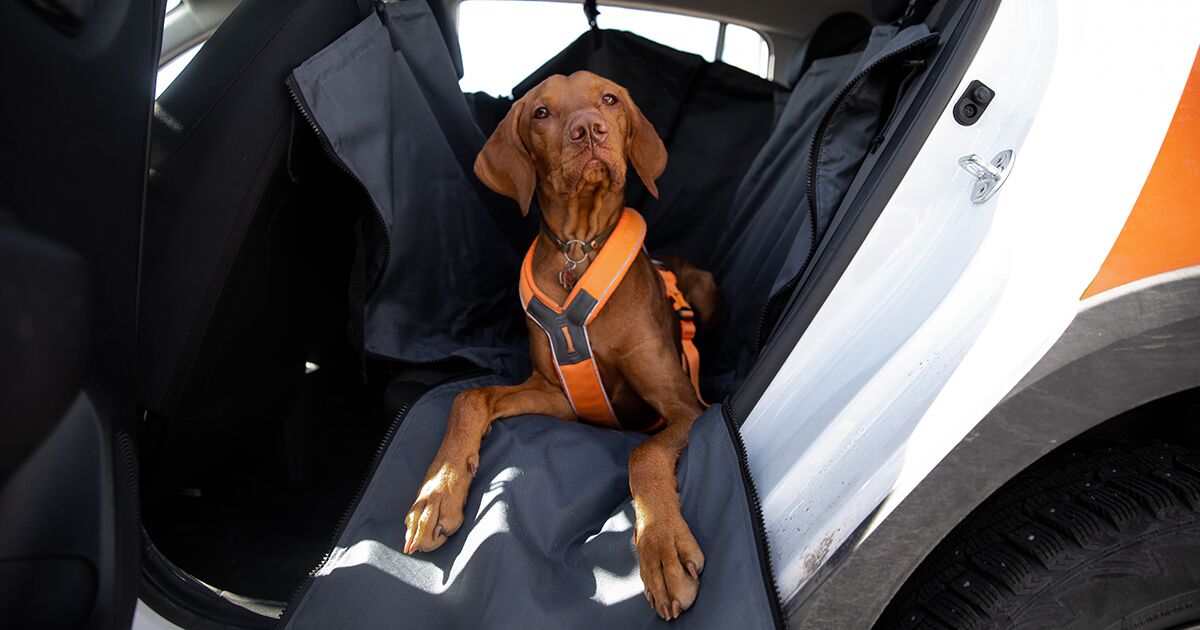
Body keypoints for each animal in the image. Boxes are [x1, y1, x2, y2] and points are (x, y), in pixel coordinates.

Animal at [403, 69, 720, 619]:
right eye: (541, 113)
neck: (580, 249)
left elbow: (644, 455)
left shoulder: (683, 406)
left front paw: (660, 547)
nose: (588, 129)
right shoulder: (561, 396)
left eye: (609, 99)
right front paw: (437, 491)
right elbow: (470, 398)